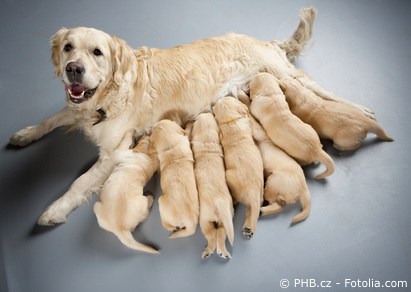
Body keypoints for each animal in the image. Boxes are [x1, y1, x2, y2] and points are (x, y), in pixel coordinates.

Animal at [190, 113, 235, 258]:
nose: (205, 112)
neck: (207, 142)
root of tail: (219, 202)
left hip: (204, 220)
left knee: (212, 235)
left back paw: (208, 252)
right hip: (226, 219)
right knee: (221, 232)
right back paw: (223, 253)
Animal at [212, 97, 264, 238]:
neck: (231, 120)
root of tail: (253, 191)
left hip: (228, 176)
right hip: (260, 194)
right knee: (252, 212)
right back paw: (248, 229)